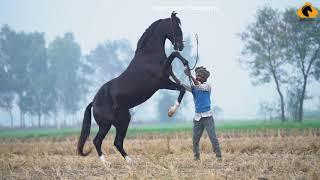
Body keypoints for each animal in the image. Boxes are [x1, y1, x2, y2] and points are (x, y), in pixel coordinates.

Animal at [78, 12, 190, 165]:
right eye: (176, 26)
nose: (181, 45)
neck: (149, 55)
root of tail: (93, 102)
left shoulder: (165, 83)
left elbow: (182, 88)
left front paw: (172, 111)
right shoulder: (162, 81)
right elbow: (174, 55)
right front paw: (171, 111)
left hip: (123, 120)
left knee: (117, 142)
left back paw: (130, 162)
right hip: (106, 124)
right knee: (98, 141)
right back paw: (107, 164)